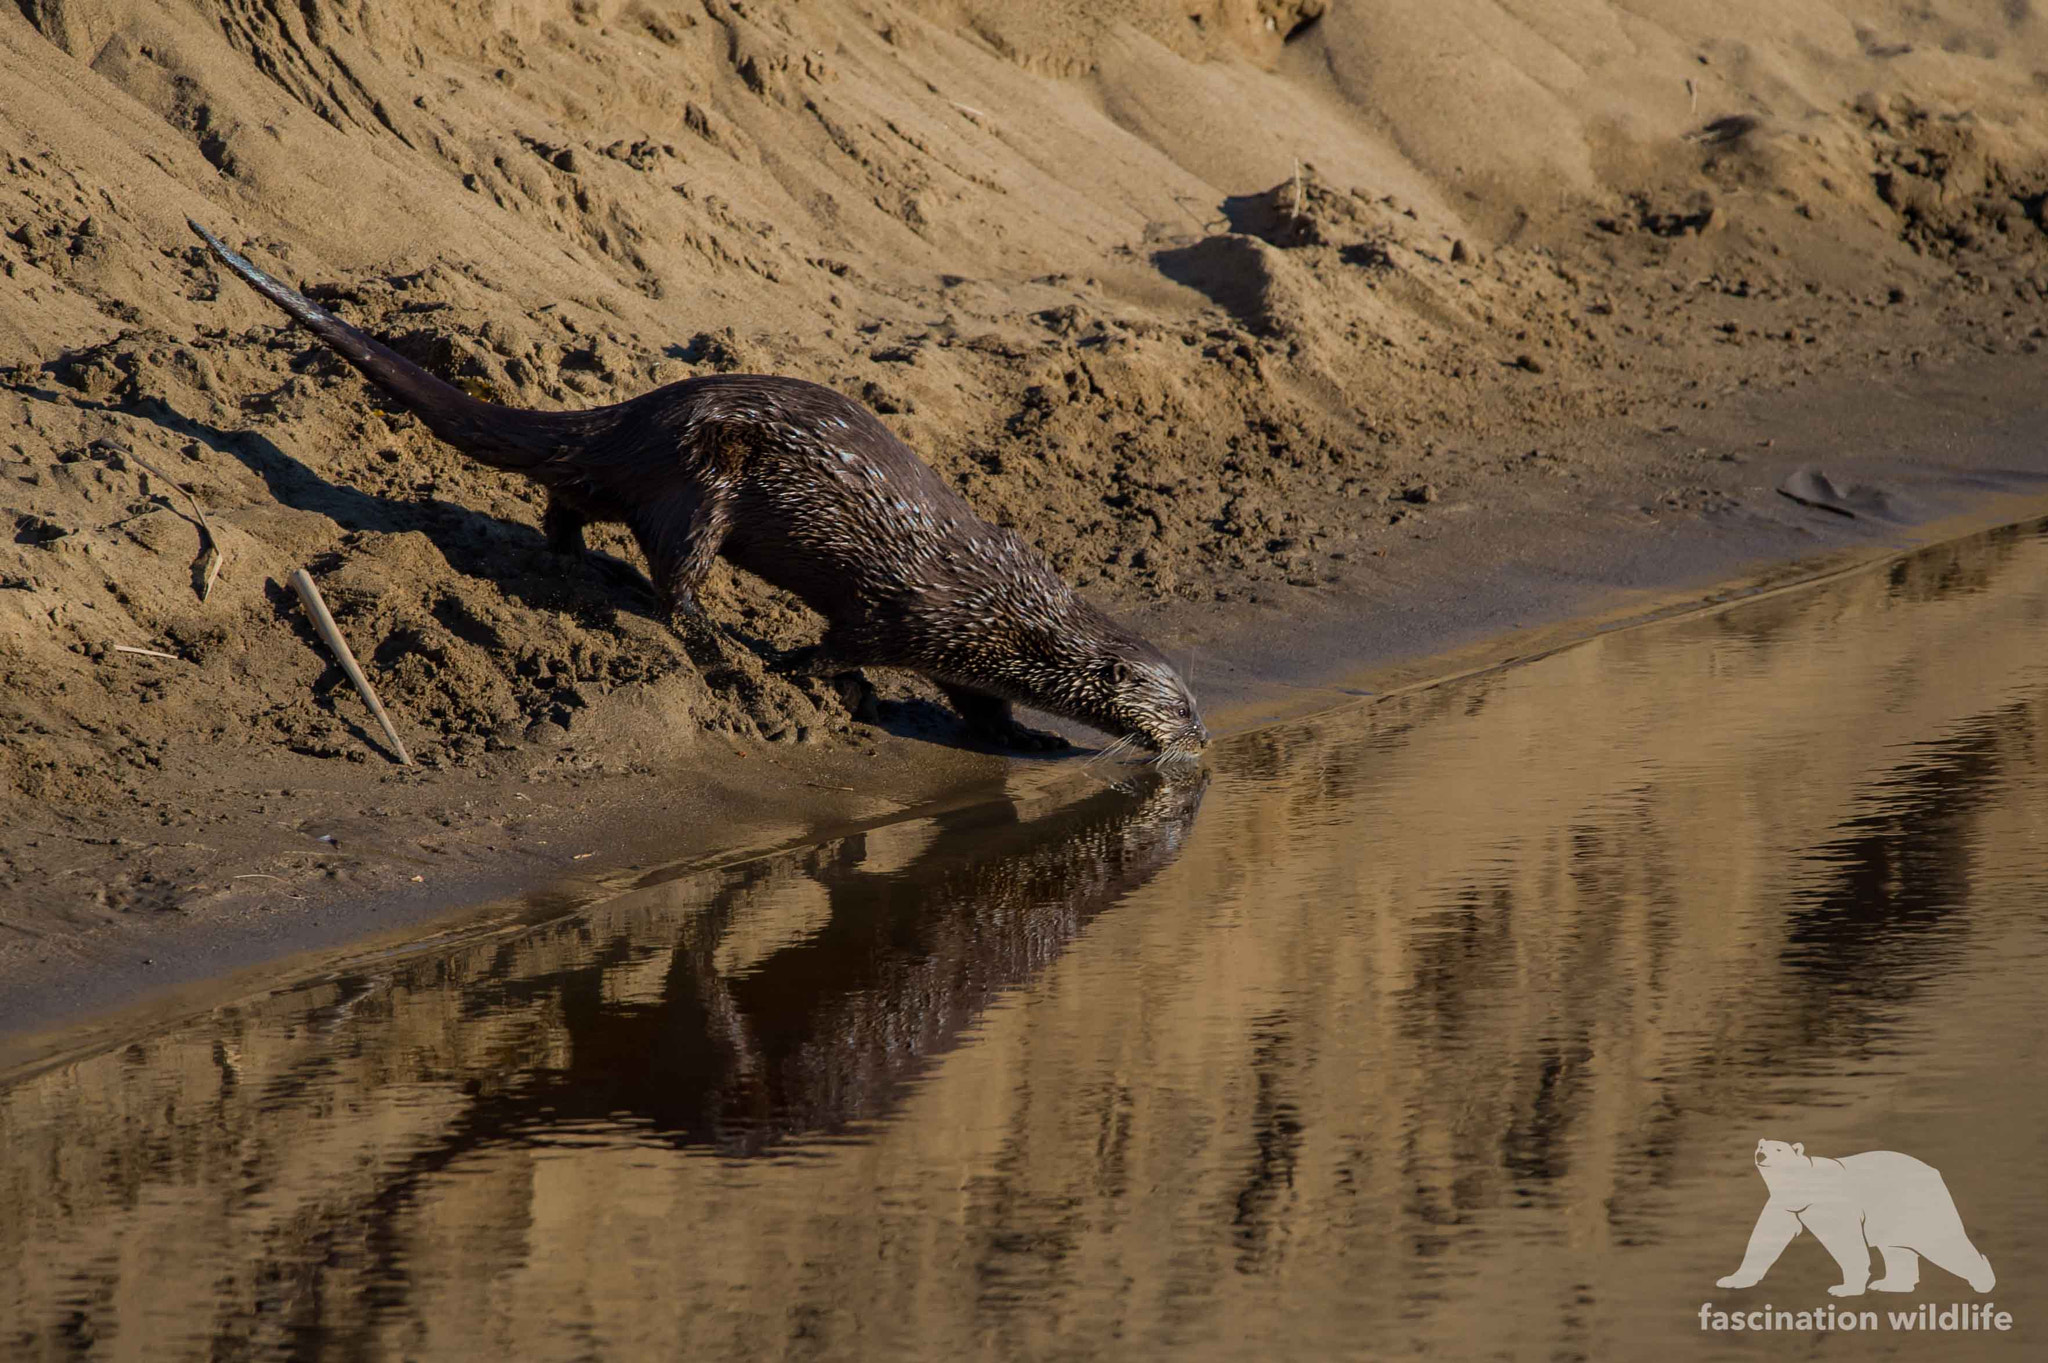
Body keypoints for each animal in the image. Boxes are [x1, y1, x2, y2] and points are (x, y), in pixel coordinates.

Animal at [190, 218, 1196, 757]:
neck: (1005, 611)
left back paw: (576, 559)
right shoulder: (910, 612)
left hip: (645, 476)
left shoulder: (962, 652)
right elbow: (845, 643)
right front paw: (802, 672)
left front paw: (1030, 736)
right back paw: (721, 651)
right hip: (701, 479)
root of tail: (640, 412)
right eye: (1182, 706)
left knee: (571, 498)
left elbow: (983, 706)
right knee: (674, 576)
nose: (1205, 739)